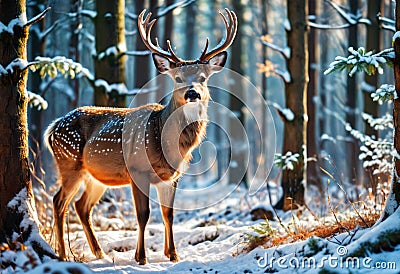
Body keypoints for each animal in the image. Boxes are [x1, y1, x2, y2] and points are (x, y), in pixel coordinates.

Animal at [44, 8, 238, 264]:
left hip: (95, 176)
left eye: (203, 78)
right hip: (69, 162)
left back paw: (98, 251)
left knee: (82, 206)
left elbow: (168, 214)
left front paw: (172, 254)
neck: (165, 140)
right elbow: (143, 215)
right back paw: (63, 254)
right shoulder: (137, 170)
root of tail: (53, 127)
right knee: (58, 201)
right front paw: (141, 257)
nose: (192, 93)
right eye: (177, 78)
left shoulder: (172, 176)